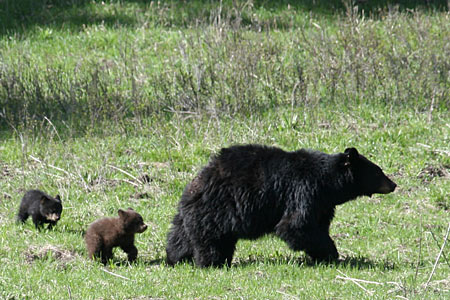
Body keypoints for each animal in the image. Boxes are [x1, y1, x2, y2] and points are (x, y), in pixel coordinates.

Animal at [166, 145, 398, 268]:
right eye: (378, 171)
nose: (394, 184)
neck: (328, 183)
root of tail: (194, 185)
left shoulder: (322, 204)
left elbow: (317, 226)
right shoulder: (303, 191)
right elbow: (296, 225)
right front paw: (331, 254)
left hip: (192, 216)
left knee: (180, 237)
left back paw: (176, 258)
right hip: (216, 211)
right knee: (211, 242)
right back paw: (213, 263)